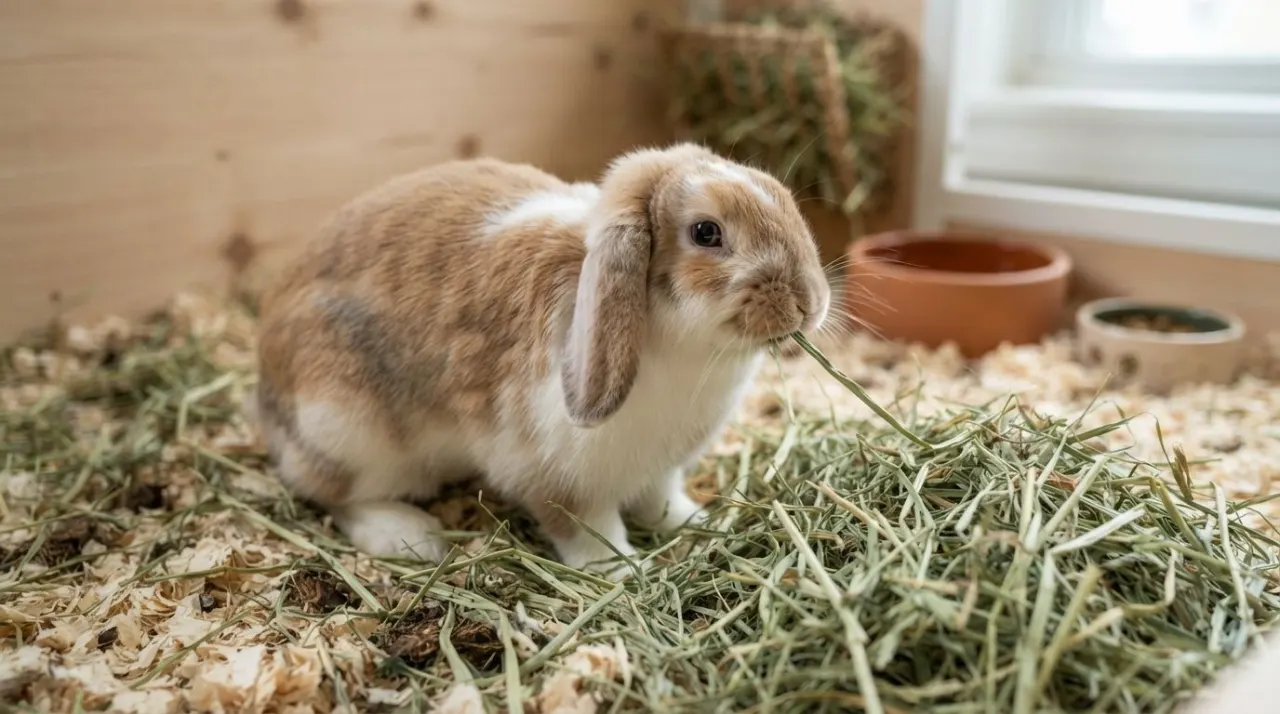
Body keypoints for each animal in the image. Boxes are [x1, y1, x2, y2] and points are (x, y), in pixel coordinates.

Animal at [252, 142, 831, 578]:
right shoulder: (559, 476)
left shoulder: (660, 468)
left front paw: (698, 522)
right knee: (331, 493)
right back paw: (410, 534)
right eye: (706, 232)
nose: (809, 301)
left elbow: (661, 500)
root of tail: (267, 399)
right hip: (346, 427)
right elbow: (586, 528)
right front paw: (620, 570)